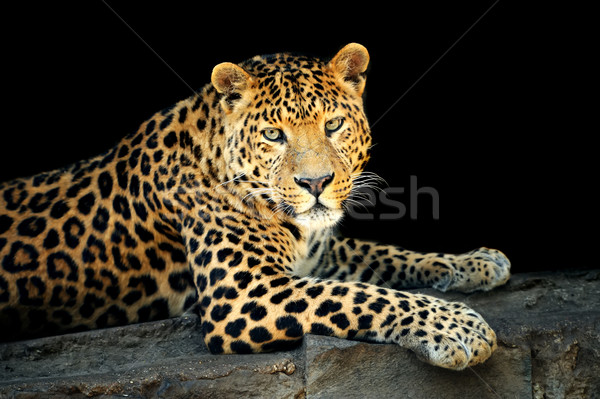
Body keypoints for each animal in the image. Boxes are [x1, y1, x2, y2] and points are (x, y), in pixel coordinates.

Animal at [0, 43, 510, 372]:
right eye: (272, 135)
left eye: (334, 124)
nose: (315, 183)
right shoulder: (244, 293)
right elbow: (362, 295)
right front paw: (457, 327)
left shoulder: (317, 253)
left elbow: (388, 256)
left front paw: (475, 262)